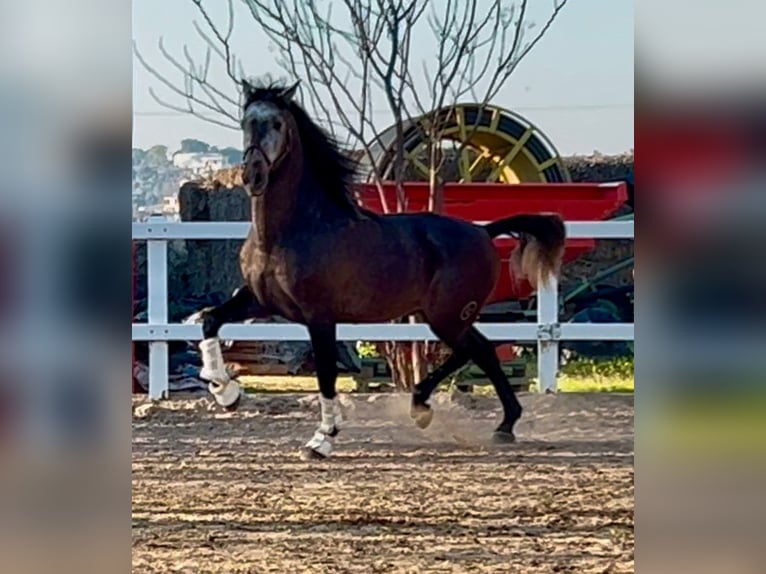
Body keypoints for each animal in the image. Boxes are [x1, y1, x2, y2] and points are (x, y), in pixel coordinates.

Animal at [194, 80, 564, 460]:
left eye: (277, 124)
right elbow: (210, 319)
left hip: (448, 316)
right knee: (482, 350)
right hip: (445, 316)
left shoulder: (319, 316)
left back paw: (441, 410)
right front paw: (226, 393)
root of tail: (483, 232)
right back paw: (487, 422)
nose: (252, 175)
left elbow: (325, 374)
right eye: (246, 122)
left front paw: (322, 440)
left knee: (475, 350)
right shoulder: (261, 301)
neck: (289, 231)